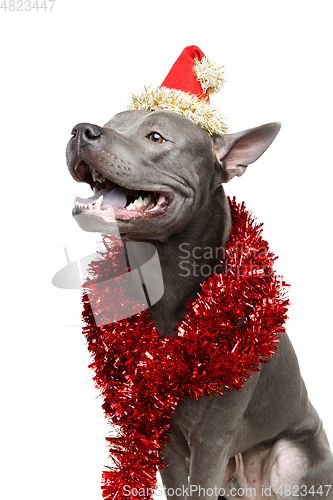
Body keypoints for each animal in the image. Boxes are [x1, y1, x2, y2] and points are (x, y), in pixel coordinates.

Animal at [65, 110, 332, 500]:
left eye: (156, 137)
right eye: (114, 122)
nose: (80, 130)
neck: (164, 272)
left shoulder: (211, 441)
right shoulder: (165, 440)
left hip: (291, 461)